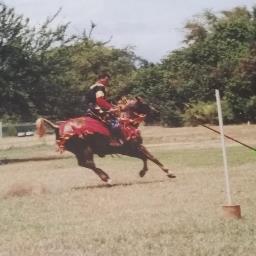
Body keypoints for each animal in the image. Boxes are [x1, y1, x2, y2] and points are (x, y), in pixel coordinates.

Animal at [35, 97, 176, 183]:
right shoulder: (135, 147)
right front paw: (169, 172)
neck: (126, 121)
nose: (156, 111)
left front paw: (142, 172)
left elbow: (145, 158)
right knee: (89, 163)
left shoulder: (129, 150)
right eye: (145, 104)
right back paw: (107, 178)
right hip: (85, 149)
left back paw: (105, 177)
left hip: (79, 151)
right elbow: (152, 158)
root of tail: (58, 126)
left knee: (84, 164)